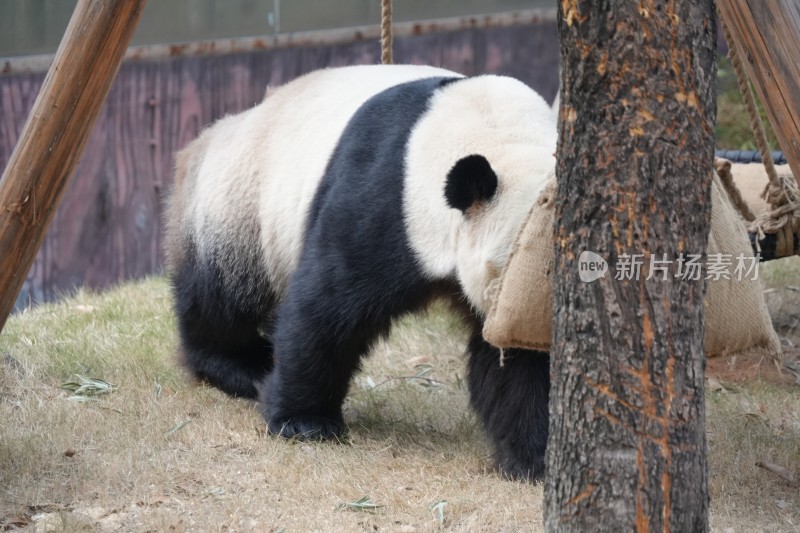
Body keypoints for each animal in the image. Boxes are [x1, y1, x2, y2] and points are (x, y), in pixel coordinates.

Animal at [165, 63, 556, 478]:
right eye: (510, 264)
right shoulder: (389, 199)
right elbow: (325, 310)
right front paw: (304, 422)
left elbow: (520, 367)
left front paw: (534, 456)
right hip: (239, 205)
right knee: (223, 296)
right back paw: (240, 365)